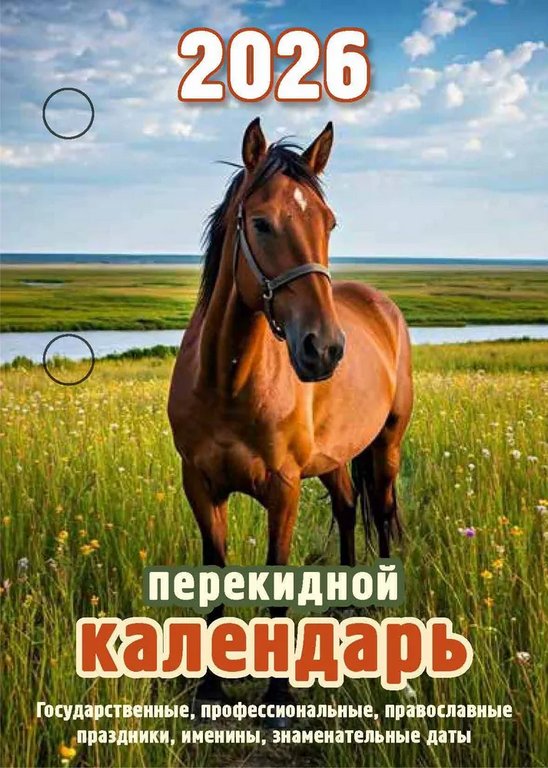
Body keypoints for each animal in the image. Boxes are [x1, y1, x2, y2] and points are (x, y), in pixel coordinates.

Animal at [168, 118, 413, 711]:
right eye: (260, 223)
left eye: (329, 222)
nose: (323, 348)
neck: (227, 381)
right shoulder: (200, 485)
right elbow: (215, 571)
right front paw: (209, 686)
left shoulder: (283, 488)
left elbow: (277, 575)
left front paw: (278, 696)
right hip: (334, 458)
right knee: (348, 509)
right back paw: (348, 606)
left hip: (387, 445)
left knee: (382, 509)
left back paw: (381, 608)